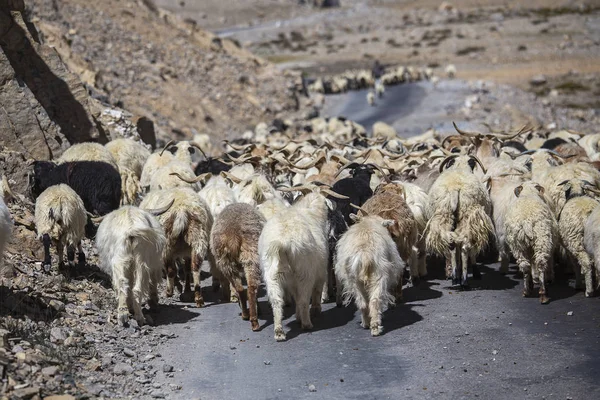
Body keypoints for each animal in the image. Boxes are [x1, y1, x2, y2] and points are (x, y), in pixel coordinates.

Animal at [212, 203, 266, 332]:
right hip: (250, 255)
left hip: (228, 261)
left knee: (242, 288)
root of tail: (233, 234)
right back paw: (253, 319)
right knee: (250, 288)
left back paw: (248, 316)